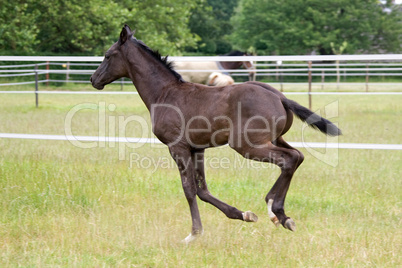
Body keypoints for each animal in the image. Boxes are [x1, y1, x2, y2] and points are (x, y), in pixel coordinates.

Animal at [89, 25, 340, 243]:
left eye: (108, 55)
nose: (94, 79)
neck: (164, 93)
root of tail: (279, 96)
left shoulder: (177, 148)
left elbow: (189, 189)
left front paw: (194, 234)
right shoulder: (197, 148)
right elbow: (202, 190)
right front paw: (244, 215)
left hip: (247, 145)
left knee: (289, 159)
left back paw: (274, 209)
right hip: (274, 138)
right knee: (298, 156)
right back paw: (280, 215)